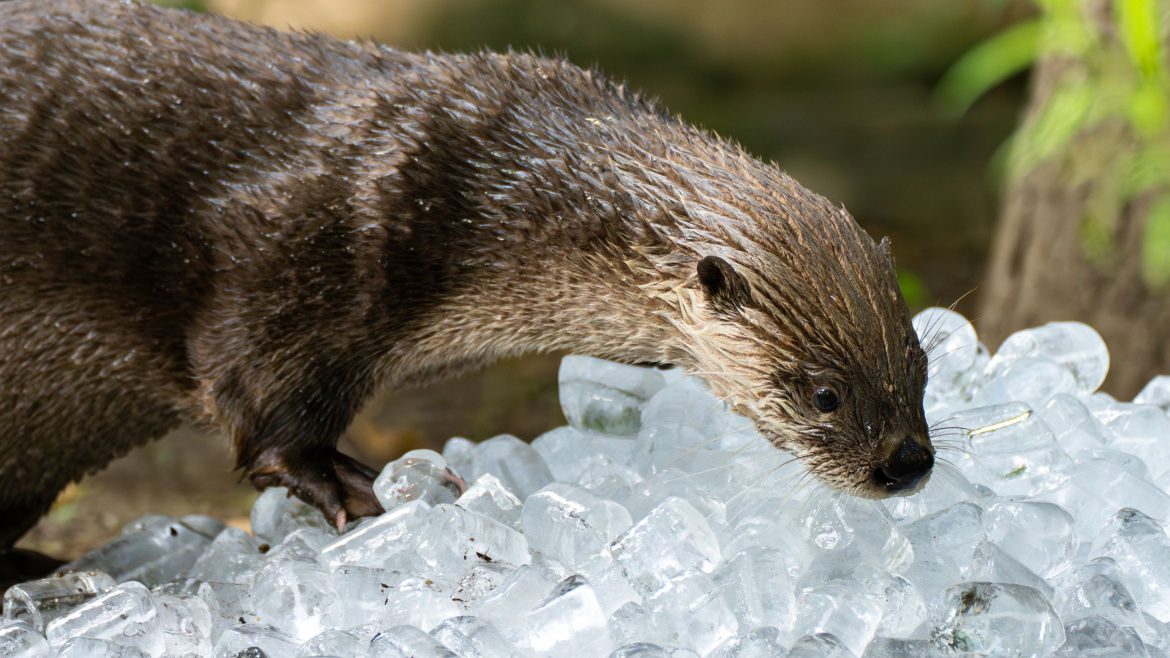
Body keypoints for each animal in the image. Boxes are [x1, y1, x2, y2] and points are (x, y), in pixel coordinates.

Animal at [0, 1, 931, 569]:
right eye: (824, 393)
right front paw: (363, 487)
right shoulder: (303, 241)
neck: (497, 191)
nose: (908, 462)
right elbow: (253, 398)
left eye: (918, 367)